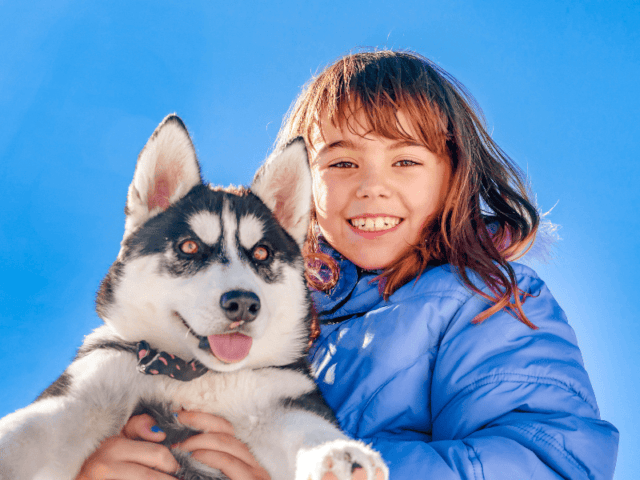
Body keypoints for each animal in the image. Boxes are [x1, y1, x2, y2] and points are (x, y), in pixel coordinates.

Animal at [0, 115, 388, 480]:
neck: (195, 377)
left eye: (261, 254)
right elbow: (29, 431)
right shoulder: (87, 387)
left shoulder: (284, 397)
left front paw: (340, 456)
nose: (243, 304)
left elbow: (310, 430)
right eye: (189, 247)